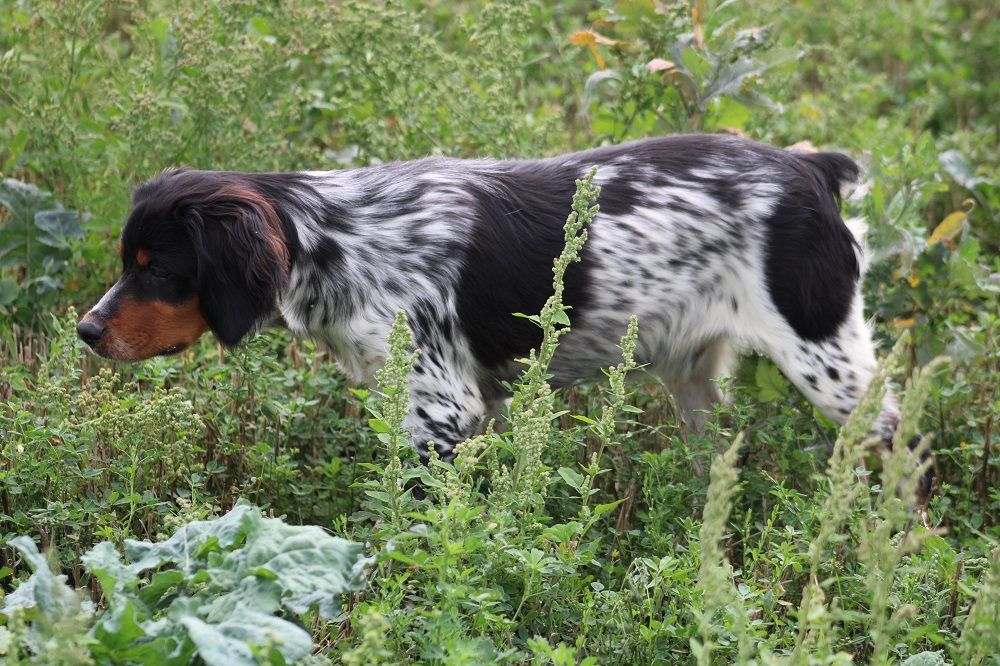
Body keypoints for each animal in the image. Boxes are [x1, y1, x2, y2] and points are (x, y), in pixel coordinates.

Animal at [78, 134, 936, 504]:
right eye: (128, 261)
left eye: (158, 268)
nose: (85, 331)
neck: (335, 236)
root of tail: (809, 168)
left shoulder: (441, 411)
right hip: (692, 375)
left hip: (827, 357)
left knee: (904, 444)